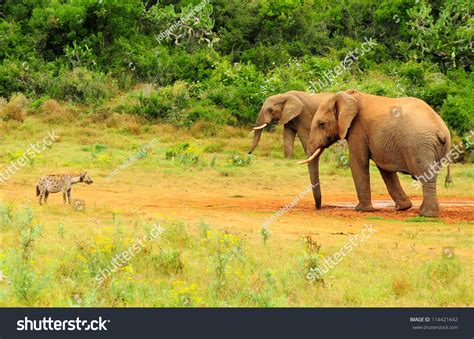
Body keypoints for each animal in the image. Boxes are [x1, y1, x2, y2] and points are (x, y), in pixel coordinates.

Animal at [300, 90, 452, 218]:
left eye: (321, 124)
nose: (319, 207)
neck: (349, 96)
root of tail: (442, 132)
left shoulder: (358, 129)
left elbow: (358, 162)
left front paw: (361, 210)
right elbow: (385, 168)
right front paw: (403, 208)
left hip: (419, 146)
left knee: (427, 177)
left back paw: (426, 214)